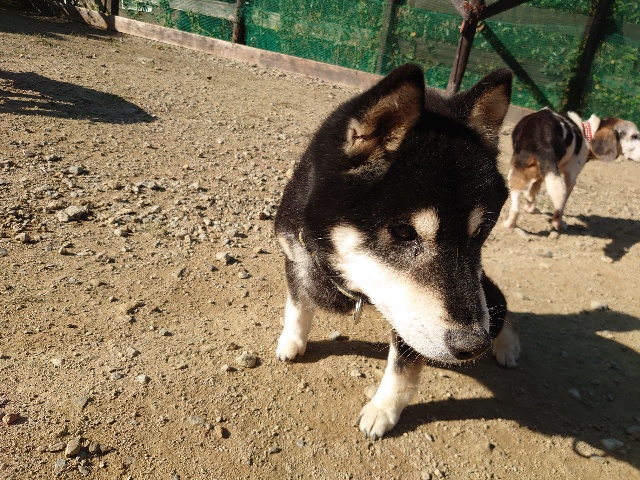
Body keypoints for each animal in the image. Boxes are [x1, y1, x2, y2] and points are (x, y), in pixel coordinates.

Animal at [274, 64, 520, 440]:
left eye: (479, 232)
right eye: (404, 232)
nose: (473, 345)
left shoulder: (408, 317)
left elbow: (403, 369)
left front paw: (383, 411)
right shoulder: (294, 254)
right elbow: (298, 306)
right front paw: (292, 339)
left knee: (499, 304)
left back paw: (506, 344)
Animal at [503, 108, 640, 230]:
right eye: (634, 136)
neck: (588, 133)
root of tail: (542, 131)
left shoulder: (545, 169)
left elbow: (534, 187)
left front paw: (529, 205)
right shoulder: (570, 177)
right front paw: (555, 221)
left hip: (517, 170)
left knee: (515, 201)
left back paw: (510, 223)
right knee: (560, 204)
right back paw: (558, 223)